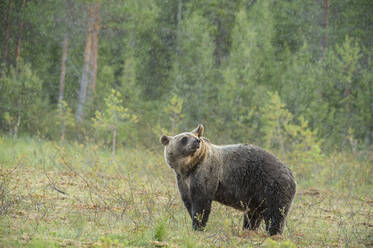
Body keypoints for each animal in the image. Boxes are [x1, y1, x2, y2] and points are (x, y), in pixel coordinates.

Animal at [158, 125, 294, 235]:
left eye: (196, 136)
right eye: (184, 138)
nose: (197, 141)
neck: (189, 166)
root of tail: (290, 173)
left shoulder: (206, 173)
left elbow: (201, 202)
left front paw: (198, 226)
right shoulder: (183, 181)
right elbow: (189, 202)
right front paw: (194, 219)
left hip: (271, 185)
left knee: (275, 213)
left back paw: (273, 233)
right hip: (256, 195)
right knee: (253, 214)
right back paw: (248, 230)